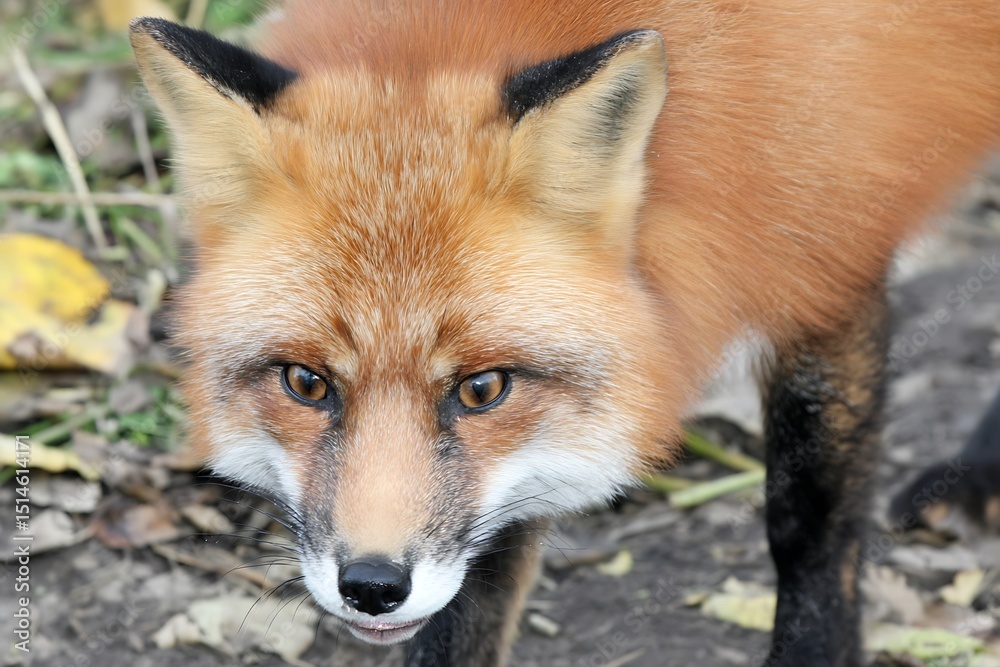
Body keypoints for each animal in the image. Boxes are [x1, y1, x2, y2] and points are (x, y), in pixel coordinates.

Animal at [128, 1, 1000, 665]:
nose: (372, 586)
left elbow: (809, 524)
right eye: (306, 382)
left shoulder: (830, 269)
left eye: (481, 387)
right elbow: (469, 606)